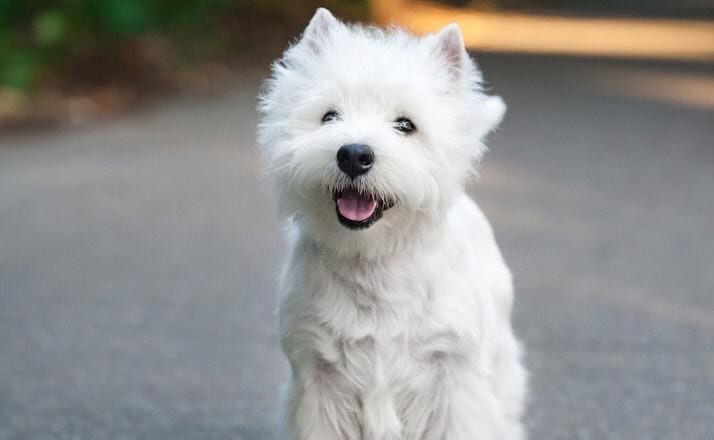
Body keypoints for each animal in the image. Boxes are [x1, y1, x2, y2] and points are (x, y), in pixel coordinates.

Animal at [258, 7, 524, 440]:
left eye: (405, 125)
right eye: (329, 116)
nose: (353, 154)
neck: (375, 263)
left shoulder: (453, 379)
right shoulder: (316, 375)